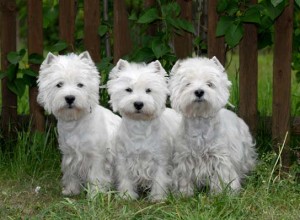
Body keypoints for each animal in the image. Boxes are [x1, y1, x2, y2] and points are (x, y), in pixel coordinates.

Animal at [37, 52, 120, 197]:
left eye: (80, 85)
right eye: (59, 84)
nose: (70, 98)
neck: (75, 123)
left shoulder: (96, 156)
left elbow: (96, 176)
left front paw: (95, 195)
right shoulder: (69, 154)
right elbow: (71, 173)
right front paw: (71, 190)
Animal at [109, 58, 182, 201]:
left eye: (148, 90)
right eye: (128, 89)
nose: (138, 104)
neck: (139, 127)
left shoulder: (160, 159)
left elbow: (159, 179)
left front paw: (158, 197)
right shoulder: (123, 158)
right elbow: (125, 178)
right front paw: (127, 195)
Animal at [170, 57, 256, 196]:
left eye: (209, 84)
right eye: (188, 84)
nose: (199, 92)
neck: (200, 123)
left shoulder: (220, 158)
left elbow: (221, 177)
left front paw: (221, 193)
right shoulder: (184, 158)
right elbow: (184, 178)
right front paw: (185, 193)